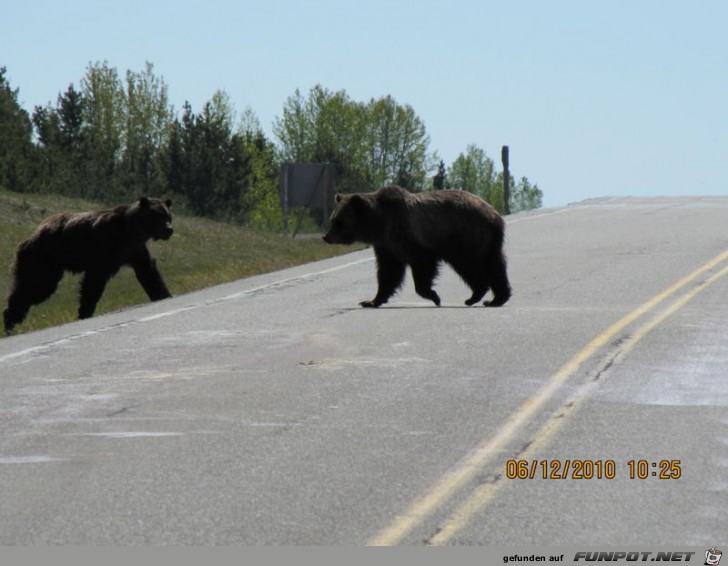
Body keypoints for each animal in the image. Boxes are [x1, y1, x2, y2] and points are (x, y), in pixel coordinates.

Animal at [4, 197, 174, 336]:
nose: (169, 229)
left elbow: (149, 272)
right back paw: (10, 322)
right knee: (36, 287)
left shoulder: (134, 250)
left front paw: (163, 294)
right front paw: (85, 311)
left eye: (168, 216)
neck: (133, 230)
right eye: (158, 215)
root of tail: (30, 236)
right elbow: (93, 283)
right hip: (43, 259)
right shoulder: (106, 249)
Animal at [322, 185, 510, 310]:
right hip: (487, 241)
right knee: (495, 265)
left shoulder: (410, 237)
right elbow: (388, 272)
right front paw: (370, 301)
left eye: (338, 222)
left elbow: (421, 264)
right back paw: (495, 298)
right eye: (332, 220)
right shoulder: (386, 246)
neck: (379, 225)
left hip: (465, 235)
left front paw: (434, 296)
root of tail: (494, 215)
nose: (326, 237)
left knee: (471, 265)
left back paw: (476, 296)